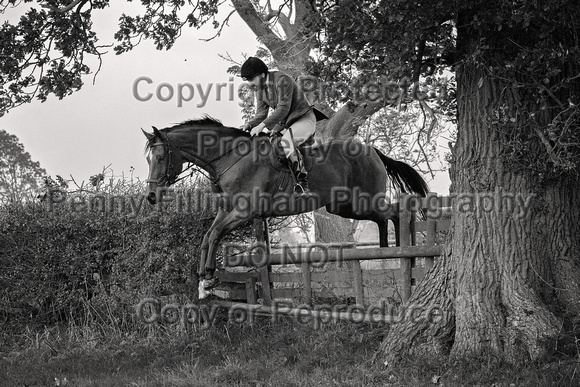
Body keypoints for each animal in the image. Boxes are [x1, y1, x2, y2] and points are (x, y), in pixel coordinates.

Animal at [143, 116, 428, 298]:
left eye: (160, 157)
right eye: (148, 159)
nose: (151, 196)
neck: (231, 158)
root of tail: (373, 151)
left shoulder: (244, 212)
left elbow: (214, 235)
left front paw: (210, 277)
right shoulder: (227, 210)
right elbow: (207, 236)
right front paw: (203, 281)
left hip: (362, 200)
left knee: (393, 212)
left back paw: (404, 252)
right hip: (345, 206)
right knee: (382, 217)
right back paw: (385, 252)